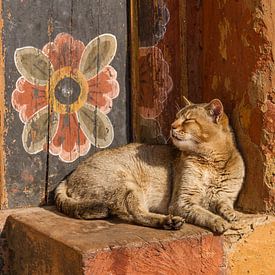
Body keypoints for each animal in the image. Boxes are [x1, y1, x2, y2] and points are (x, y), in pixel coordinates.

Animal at [54, 98, 246, 234]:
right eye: (176, 117)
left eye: (188, 120)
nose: (171, 126)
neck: (212, 162)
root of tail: (69, 177)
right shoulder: (182, 202)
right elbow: (204, 213)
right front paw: (218, 221)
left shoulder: (224, 196)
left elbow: (225, 206)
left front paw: (235, 216)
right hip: (126, 184)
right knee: (135, 213)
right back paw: (168, 221)